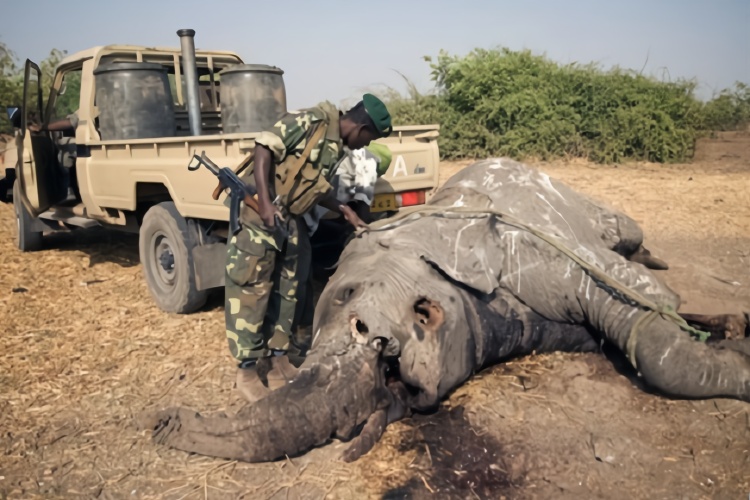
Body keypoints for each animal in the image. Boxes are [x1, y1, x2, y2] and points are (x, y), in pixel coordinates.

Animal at [147, 158, 750, 462]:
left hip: (588, 207)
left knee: (629, 240)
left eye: (424, 314)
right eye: (402, 394)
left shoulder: (534, 253)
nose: (163, 420)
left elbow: (649, 323)